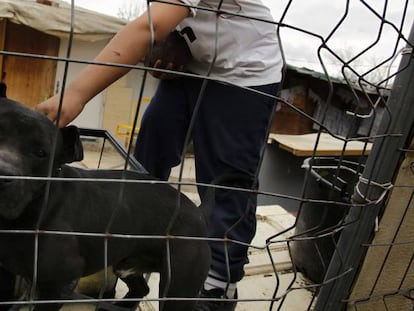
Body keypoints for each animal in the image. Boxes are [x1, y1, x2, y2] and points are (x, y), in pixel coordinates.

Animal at [0, 98, 210, 310]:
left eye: (40, 153)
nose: (2, 172)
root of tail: (198, 213)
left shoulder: (59, 284)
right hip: (127, 264)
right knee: (141, 288)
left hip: (177, 289)